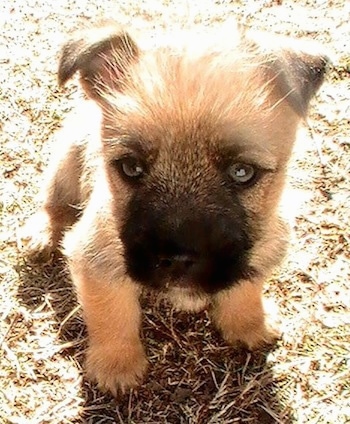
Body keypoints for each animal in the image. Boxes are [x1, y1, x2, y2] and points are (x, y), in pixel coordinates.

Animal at [23, 22, 328, 394]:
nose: (177, 260)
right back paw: (41, 235)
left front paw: (249, 324)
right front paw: (117, 366)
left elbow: (247, 286)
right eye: (131, 167)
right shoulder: (95, 255)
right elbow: (112, 313)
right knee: (54, 205)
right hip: (65, 161)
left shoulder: (260, 246)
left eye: (242, 172)